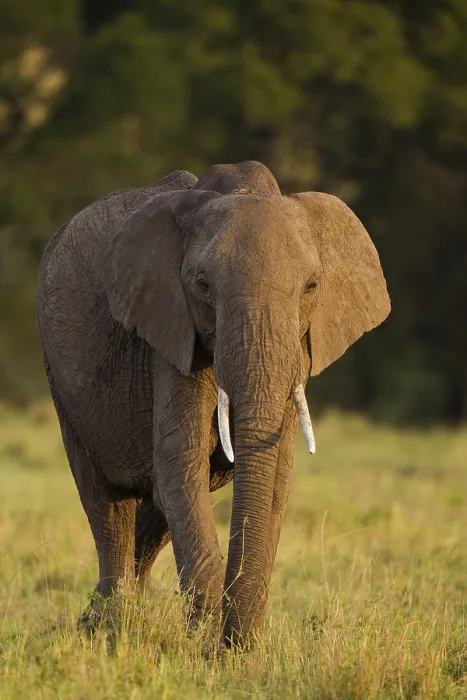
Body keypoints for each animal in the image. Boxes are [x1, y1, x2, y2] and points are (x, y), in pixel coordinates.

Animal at [36, 160, 390, 649]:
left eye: (311, 286)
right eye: (202, 286)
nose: (231, 644)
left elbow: (273, 479)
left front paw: (236, 650)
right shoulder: (168, 327)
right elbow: (178, 465)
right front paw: (206, 645)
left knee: (156, 513)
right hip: (61, 376)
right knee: (108, 506)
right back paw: (108, 628)